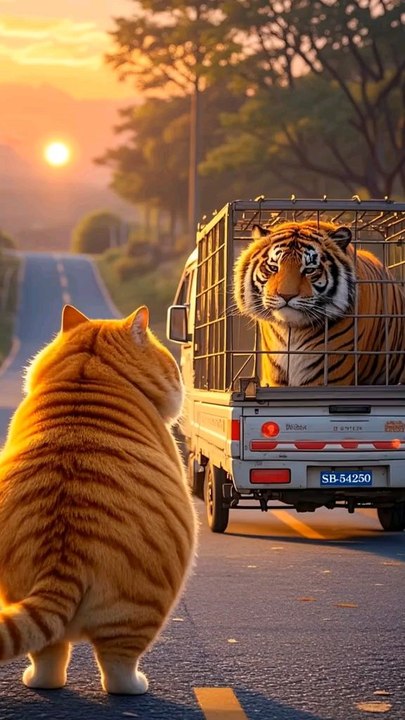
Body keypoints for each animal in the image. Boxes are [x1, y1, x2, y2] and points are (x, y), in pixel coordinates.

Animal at [0, 304, 197, 694]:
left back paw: (37, 681)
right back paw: (136, 685)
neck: (88, 367)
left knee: (48, 656)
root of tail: (61, 561)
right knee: (117, 666)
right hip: (139, 612)